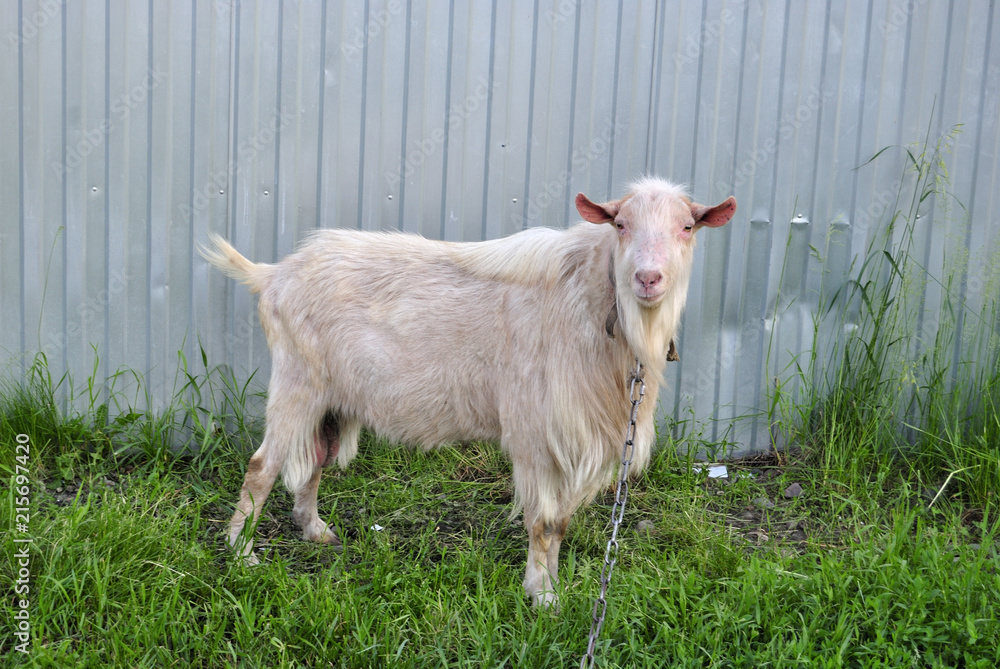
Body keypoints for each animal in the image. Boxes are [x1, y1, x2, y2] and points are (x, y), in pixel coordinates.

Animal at [201, 177, 736, 607]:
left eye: (687, 227)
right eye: (621, 224)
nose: (648, 278)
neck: (589, 302)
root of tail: (273, 276)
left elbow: (560, 524)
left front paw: (553, 585)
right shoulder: (537, 433)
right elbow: (543, 523)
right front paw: (542, 597)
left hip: (332, 399)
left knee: (315, 459)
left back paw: (315, 532)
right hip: (297, 384)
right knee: (262, 467)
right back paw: (241, 553)